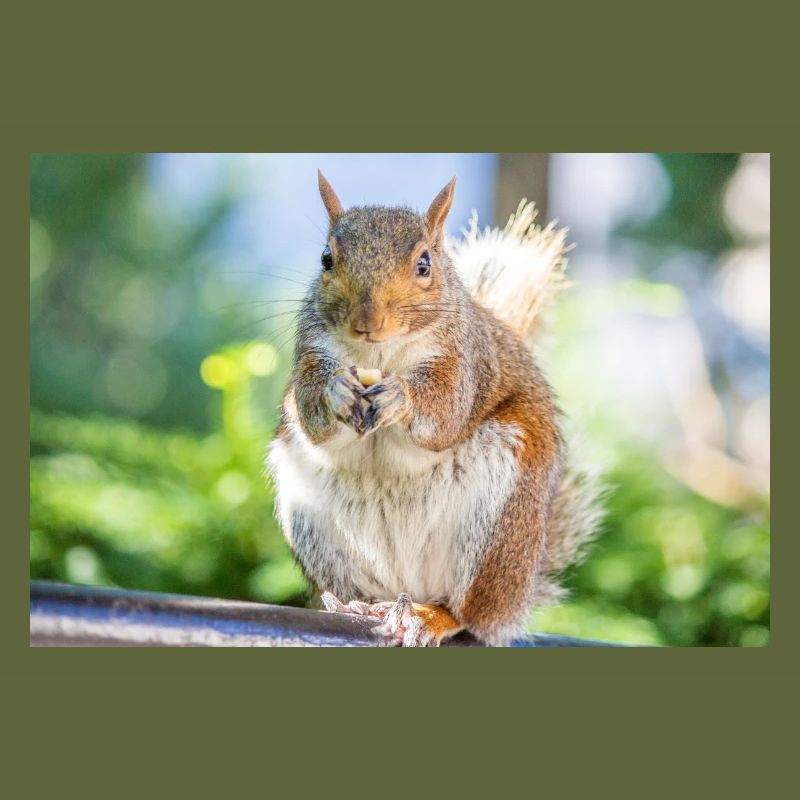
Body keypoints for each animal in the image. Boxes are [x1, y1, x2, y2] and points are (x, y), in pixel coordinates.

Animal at [267, 171, 601, 646]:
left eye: (424, 264)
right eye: (327, 259)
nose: (367, 323)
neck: (381, 355)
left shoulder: (465, 363)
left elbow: (445, 413)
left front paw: (401, 396)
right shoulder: (311, 352)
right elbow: (313, 418)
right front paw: (336, 391)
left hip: (498, 531)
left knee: (468, 612)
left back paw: (429, 616)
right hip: (317, 529)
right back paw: (358, 605)